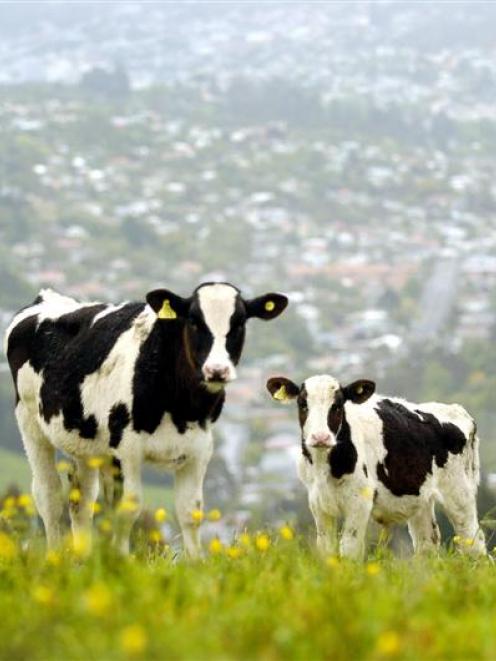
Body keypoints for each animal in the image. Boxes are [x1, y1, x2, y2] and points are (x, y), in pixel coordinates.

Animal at [4, 283, 288, 555]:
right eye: (194, 321)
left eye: (239, 323)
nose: (217, 370)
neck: (180, 408)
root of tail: (46, 298)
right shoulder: (124, 451)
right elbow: (126, 509)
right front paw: (120, 561)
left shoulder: (199, 450)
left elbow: (190, 512)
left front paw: (197, 564)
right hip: (29, 422)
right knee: (48, 495)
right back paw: (55, 557)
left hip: (83, 441)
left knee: (81, 499)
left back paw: (81, 559)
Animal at [267, 373, 486, 559]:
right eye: (302, 404)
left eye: (337, 406)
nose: (320, 437)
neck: (325, 468)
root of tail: (457, 410)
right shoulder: (318, 503)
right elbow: (326, 549)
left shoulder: (359, 502)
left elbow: (349, 549)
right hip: (421, 499)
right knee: (427, 544)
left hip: (459, 493)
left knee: (474, 542)